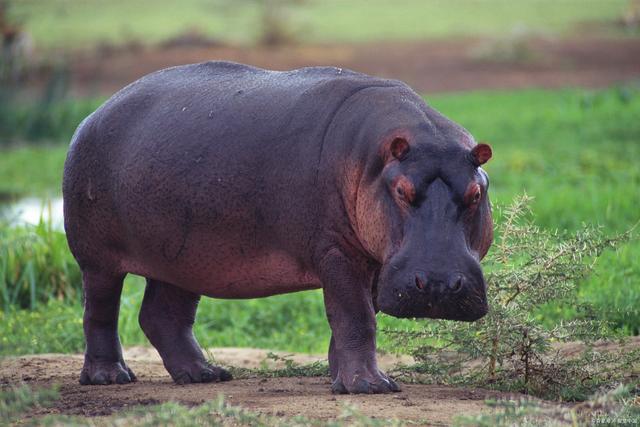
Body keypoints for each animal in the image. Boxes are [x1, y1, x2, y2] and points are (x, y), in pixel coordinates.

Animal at [63, 60, 496, 394]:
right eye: (402, 190)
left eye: (476, 192)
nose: (439, 284)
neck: (376, 160)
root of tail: (94, 114)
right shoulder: (337, 252)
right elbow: (356, 316)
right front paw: (369, 386)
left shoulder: (375, 262)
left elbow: (351, 320)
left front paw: (339, 379)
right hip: (97, 258)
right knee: (100, 311)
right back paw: (110, 378)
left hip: (182, 258)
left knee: (162, 315)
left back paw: (205, 375)